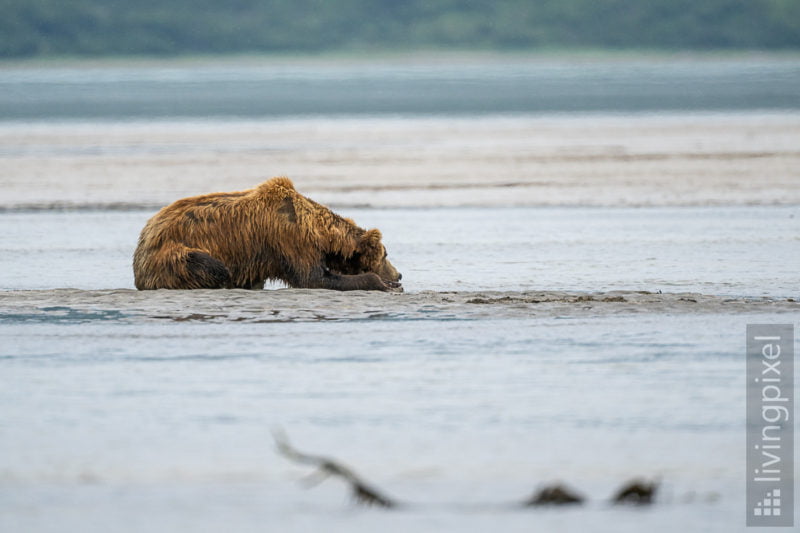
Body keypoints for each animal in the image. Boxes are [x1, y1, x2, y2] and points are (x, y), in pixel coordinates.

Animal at [134, 176, 404, 290]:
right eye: (386, 254)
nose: (399, 274)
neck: (319, 233)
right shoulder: (290, 240)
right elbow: (312, 277)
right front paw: (383, 284)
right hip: (172, 254)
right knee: (210, 265)